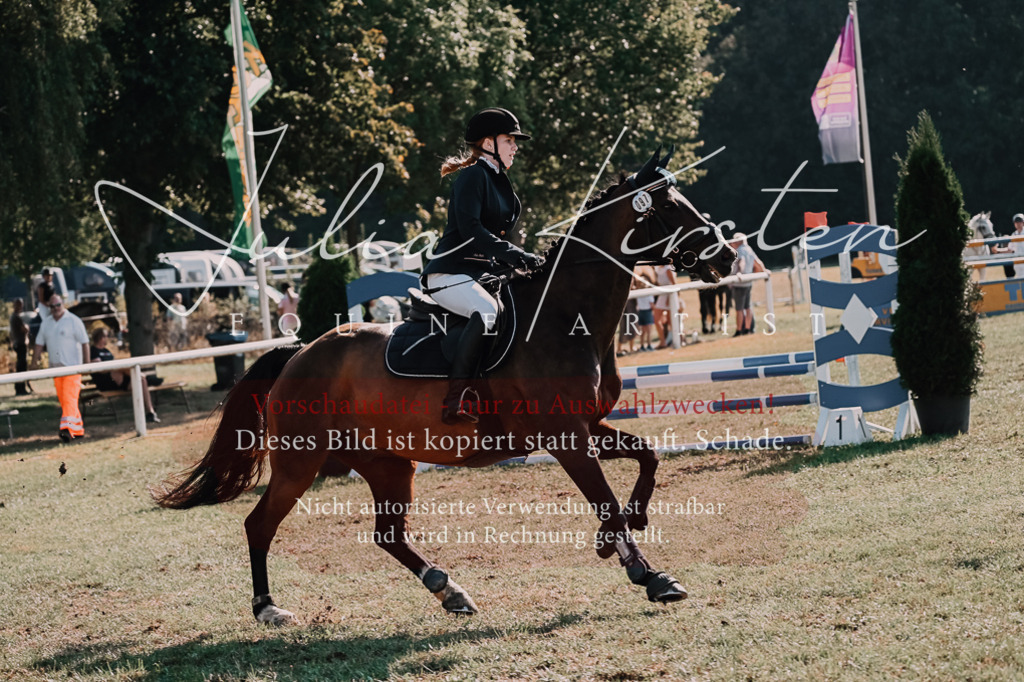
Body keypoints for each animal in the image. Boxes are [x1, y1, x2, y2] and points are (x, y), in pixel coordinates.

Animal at [153, 147, 737, 625]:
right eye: (670, 208)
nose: (727, 256)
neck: (564, 318)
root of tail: (299, 353)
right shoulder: (566, 435)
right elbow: (607, 501)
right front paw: (650, 577)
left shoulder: (588, 425)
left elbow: (647, 458)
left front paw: (618, 537)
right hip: (302, 462)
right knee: (260, 525)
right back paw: (268, 608)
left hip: (387, 462)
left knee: (387, 534)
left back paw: (448, 589)